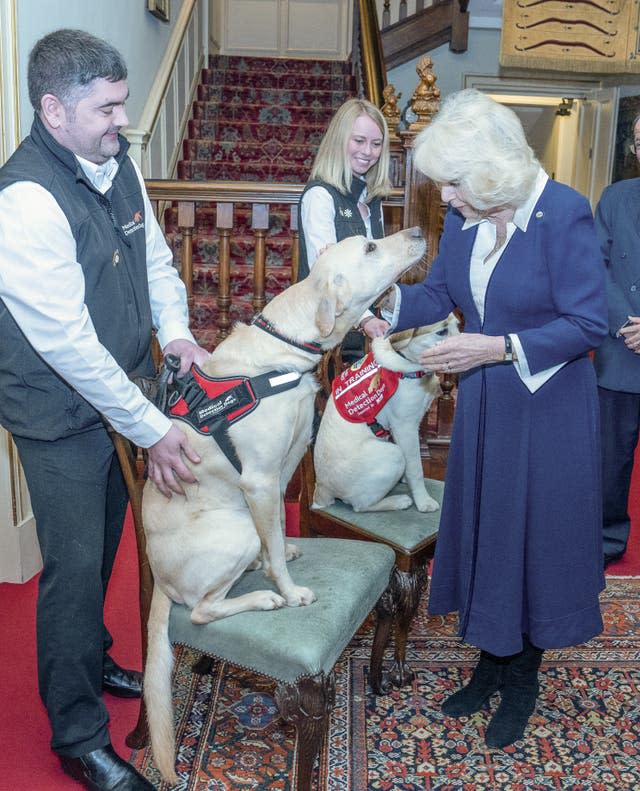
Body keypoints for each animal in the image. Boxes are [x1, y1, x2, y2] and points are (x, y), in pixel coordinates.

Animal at [142, 226, 428, 784]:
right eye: (369, 247)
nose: (417, 232)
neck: (283, 355)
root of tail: (158, 582)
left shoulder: (281, 473)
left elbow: (278, 528)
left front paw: (288, 555)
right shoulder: (257, 480)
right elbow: (273, 543)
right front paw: (290, 590)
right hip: (232, 533)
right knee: (204, 610)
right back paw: (264, 598)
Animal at [312, 316, 458, 512]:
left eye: (458, 325)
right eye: (441, 331)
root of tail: (321, 490)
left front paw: (405, 479)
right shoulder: (405, 428)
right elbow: (416, 468)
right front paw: (423, 501)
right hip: (393, 454)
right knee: (360, 506)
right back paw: (398, 501)